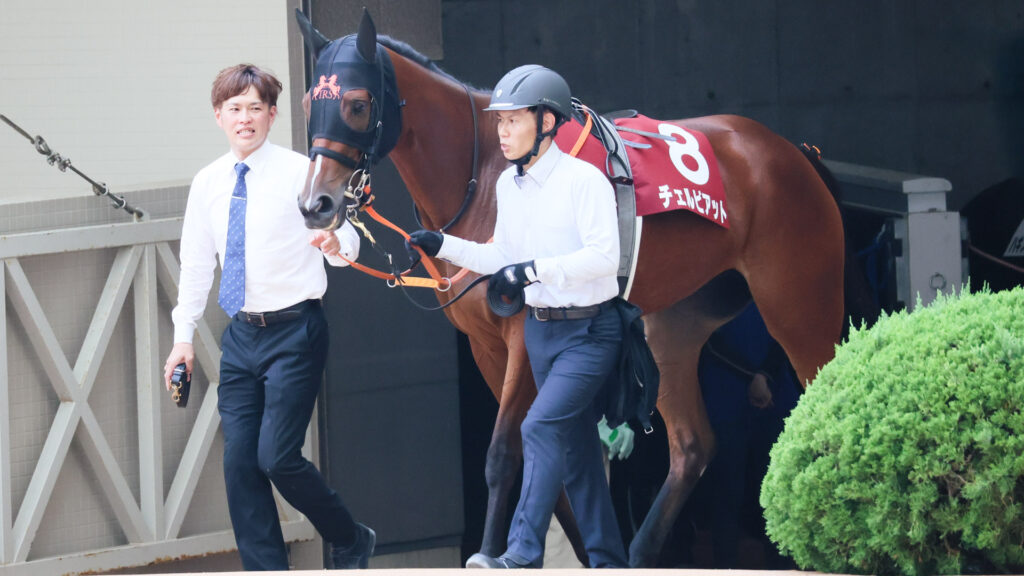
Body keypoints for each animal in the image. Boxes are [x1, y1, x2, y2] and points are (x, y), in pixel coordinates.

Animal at [295, 10, 845, 568]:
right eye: (309, 103)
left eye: (357, 104)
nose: (315, 204)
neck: (489, 171)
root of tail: (794, 154)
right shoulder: (486, 346)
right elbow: (549, 465)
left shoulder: (520, 334)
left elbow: (504, 451)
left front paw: (491, 552)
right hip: (673, 327)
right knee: (693, 445)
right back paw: (639, 552)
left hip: (801, 308)